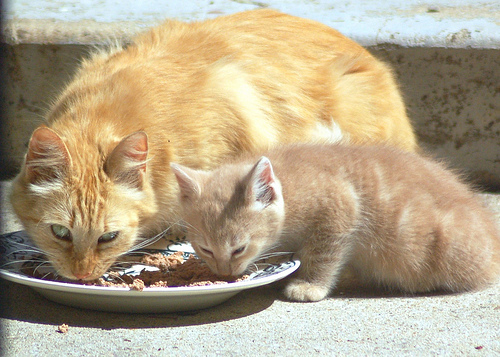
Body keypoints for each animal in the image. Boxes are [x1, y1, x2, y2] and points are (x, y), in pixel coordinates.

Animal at [172, 143, 500, 298]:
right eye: (205, 249)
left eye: (239, 249)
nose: (225, 275)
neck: (290, 186)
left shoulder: (341, 205)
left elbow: (323, 254)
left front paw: (309, 285)